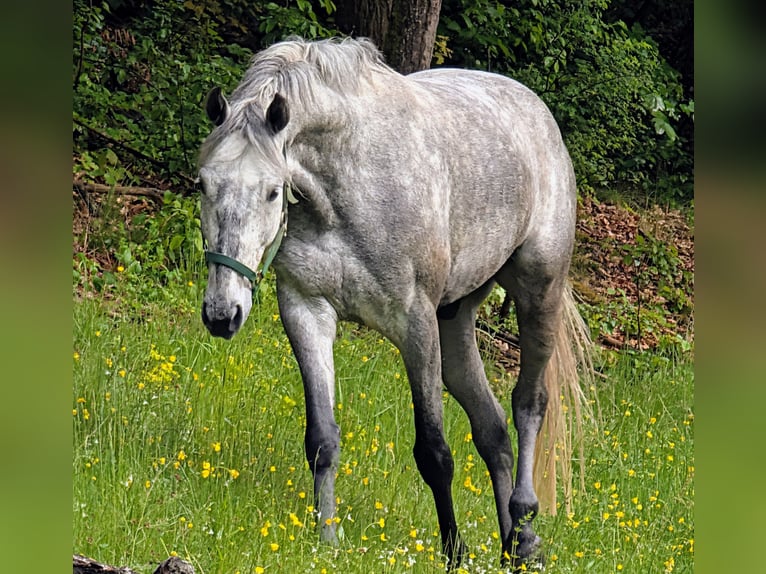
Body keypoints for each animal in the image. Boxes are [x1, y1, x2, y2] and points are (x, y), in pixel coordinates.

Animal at [197, 37, 590, 569]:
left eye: (273, 191)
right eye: (202, 184)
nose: (222, 314)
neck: (348, 185)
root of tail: (537, 114)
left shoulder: (415, 324)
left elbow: (435, 452)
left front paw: (454, 552)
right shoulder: (305, 311)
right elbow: (322, 439)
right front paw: (327, 539)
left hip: (538, 293)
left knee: (529, 405)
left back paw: (525, 533)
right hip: (454, 324)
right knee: (493, 430)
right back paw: (509, 543)